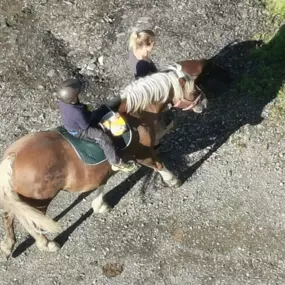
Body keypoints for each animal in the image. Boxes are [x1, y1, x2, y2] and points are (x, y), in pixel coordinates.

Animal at [0, 58, 207, 256]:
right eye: (193, 89)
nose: (204, 103)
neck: (135, 115)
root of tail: (12, 156)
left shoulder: (107, 166)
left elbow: (103, 181)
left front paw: (99, 205)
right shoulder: (142, 153)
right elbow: (158, 164)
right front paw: (173, 180)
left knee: (10, 215)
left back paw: (8, 245)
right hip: (39, 200)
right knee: (30, 222)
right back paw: (47, 244)